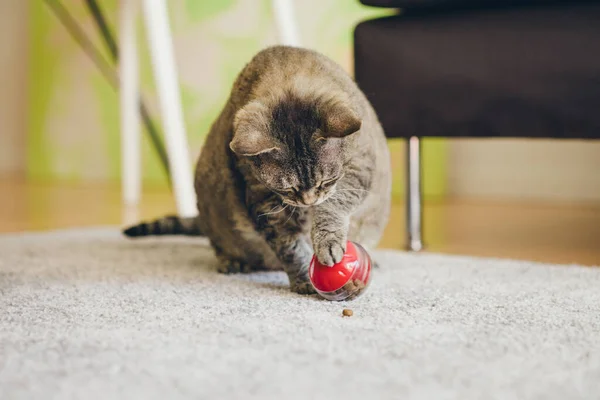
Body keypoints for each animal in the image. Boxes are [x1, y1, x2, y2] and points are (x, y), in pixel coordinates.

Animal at [124, 45, 392, 294]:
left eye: (325, 182)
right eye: (289, 188)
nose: (308, 200)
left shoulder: (361, 167)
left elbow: (334, 205)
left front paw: (327, 241)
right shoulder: (265, 203)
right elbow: (291, 248)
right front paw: (304, 279)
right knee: (219, 244)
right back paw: (231, 261)